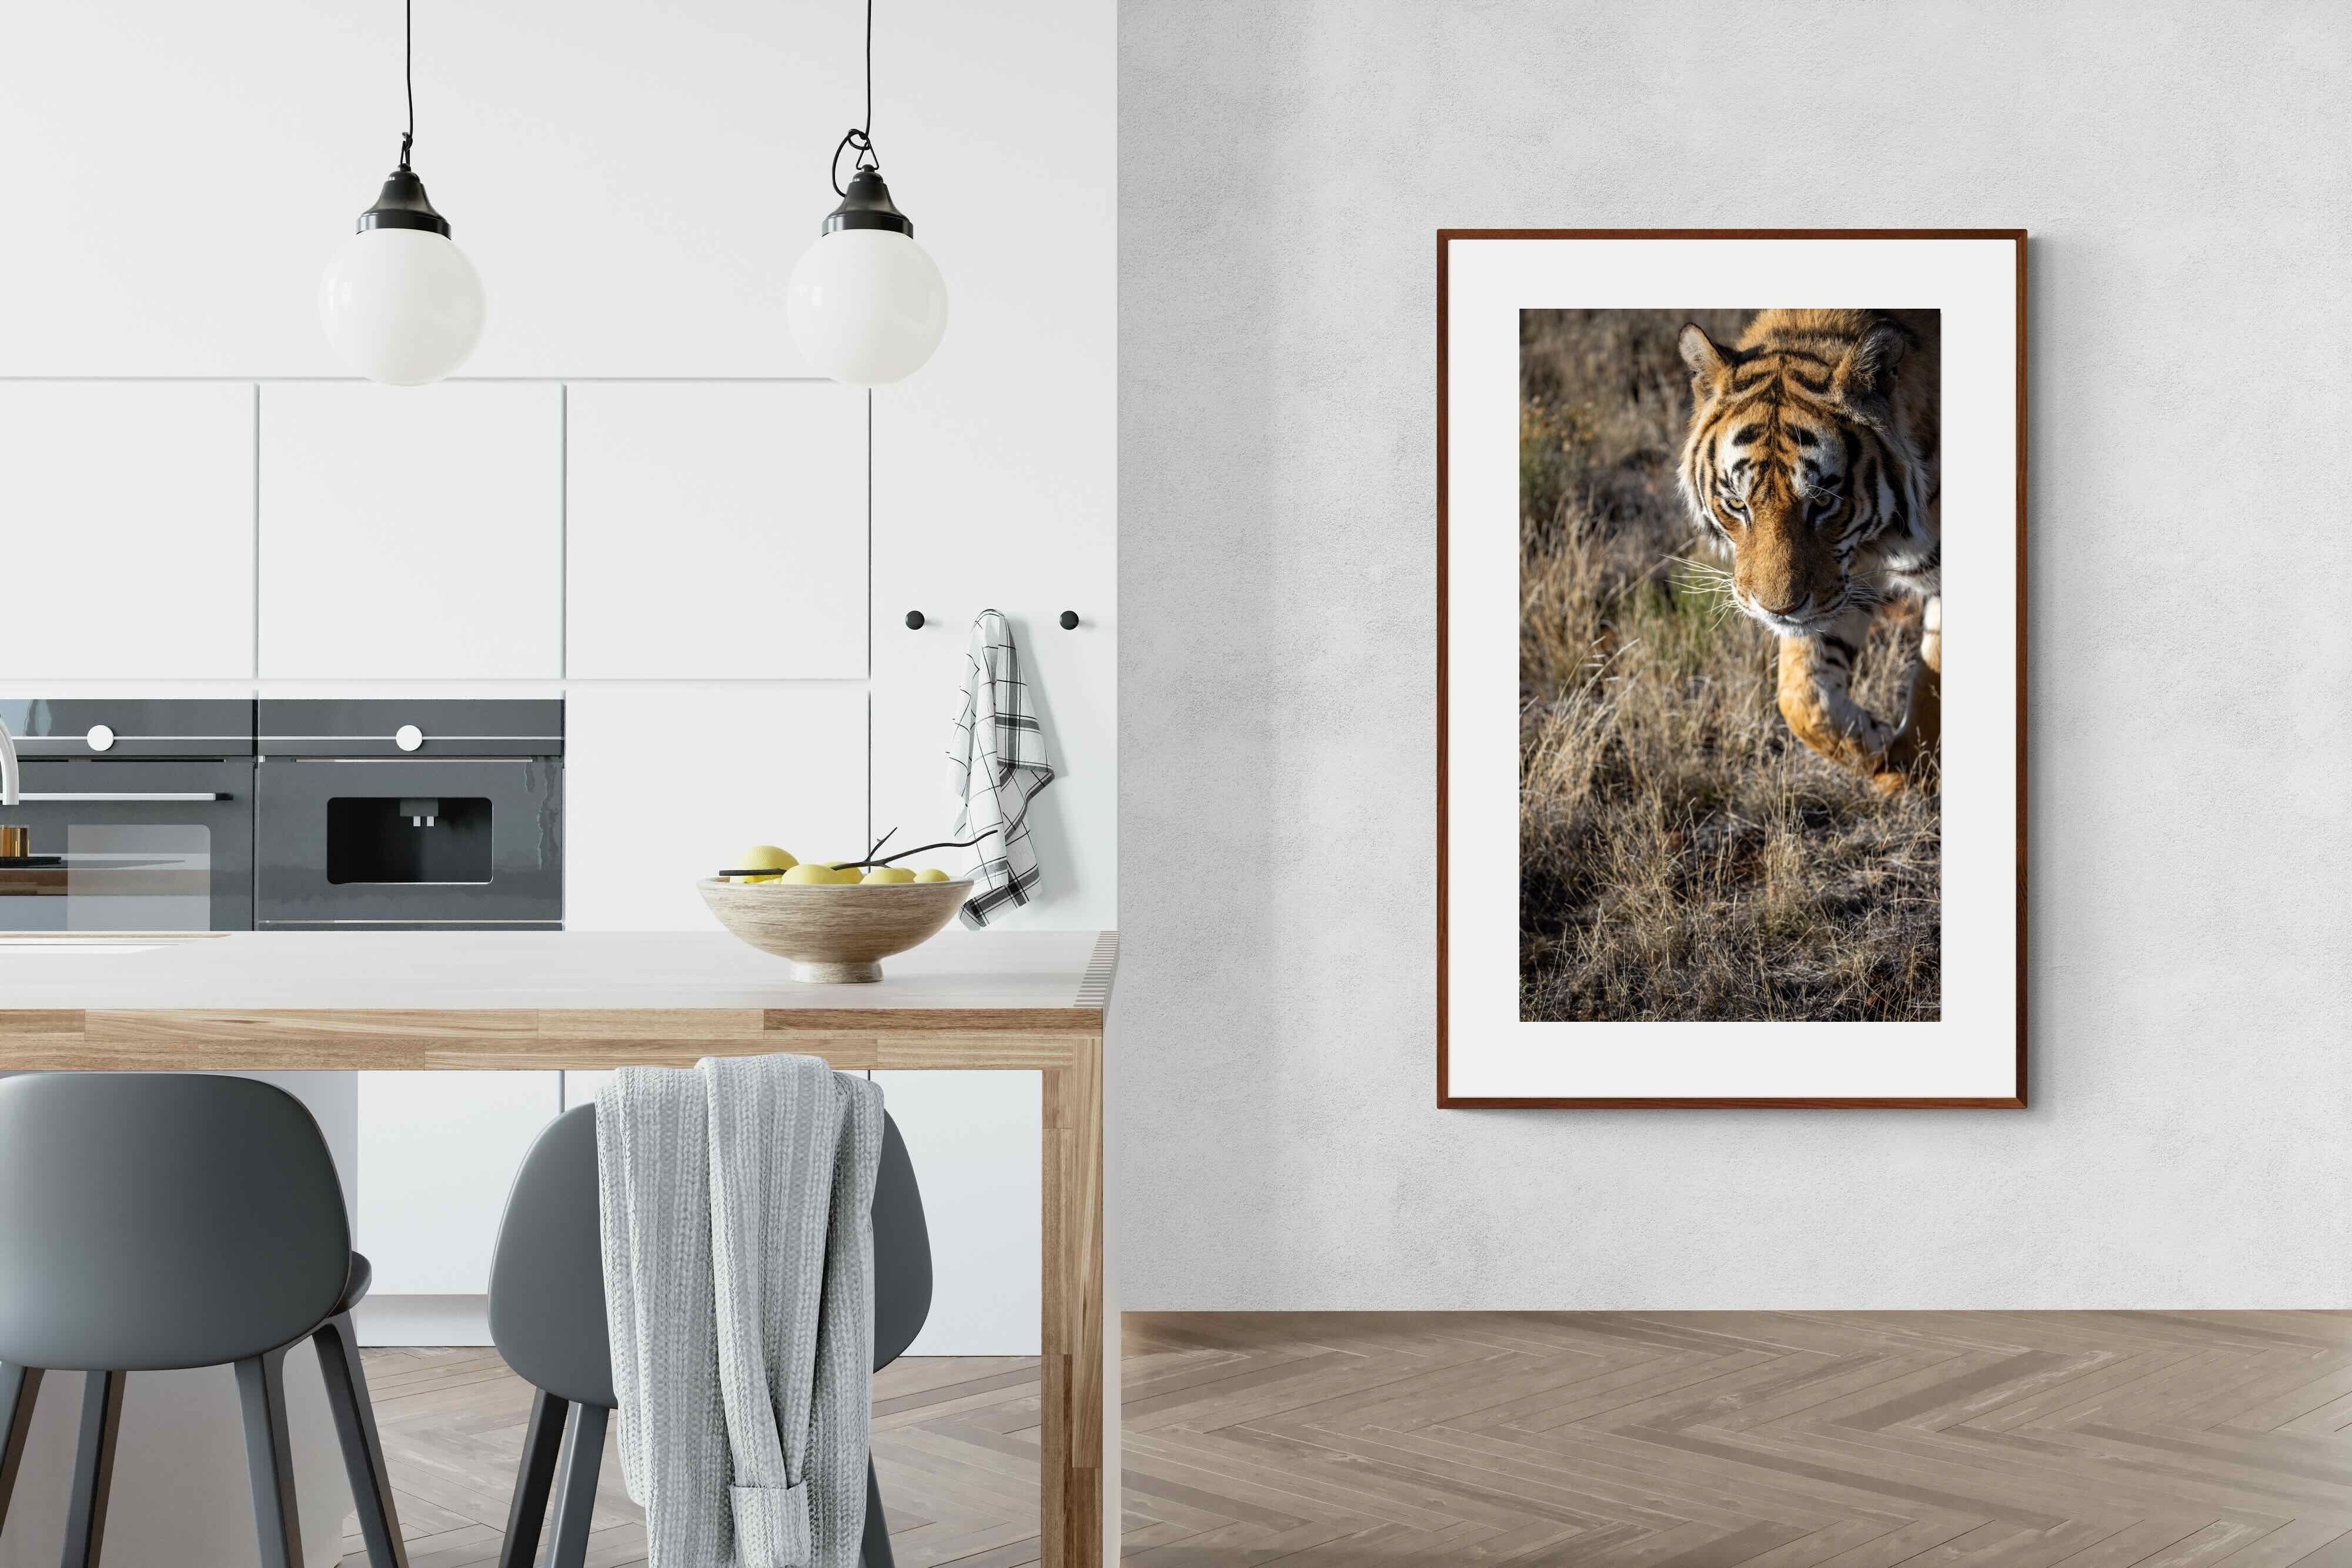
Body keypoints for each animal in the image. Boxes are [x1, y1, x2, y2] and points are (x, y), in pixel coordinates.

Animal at [1675, 308, 1940, 793]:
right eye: (1738, 504)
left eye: (1823, 502)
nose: (1776, 610)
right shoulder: (1841, 583)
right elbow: (1800, 697)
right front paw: (1877, 748)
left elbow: (1933, 682)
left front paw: (1912, 769)